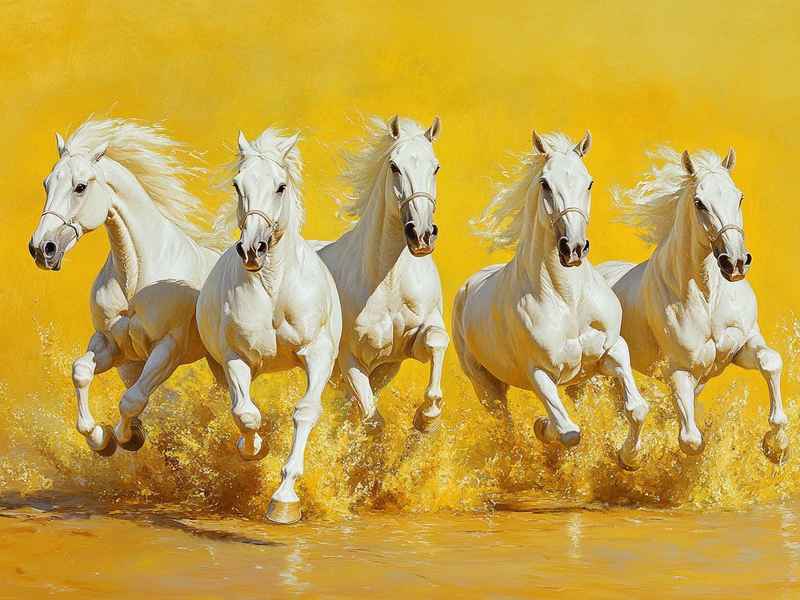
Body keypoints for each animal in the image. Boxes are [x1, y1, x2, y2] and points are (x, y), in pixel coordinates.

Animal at [28, 118, 222, 457]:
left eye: (80, 187)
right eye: (46, 184)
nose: (42, 249)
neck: (136, 278)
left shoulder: (168, 348)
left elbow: (132, 399)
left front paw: (124, 437)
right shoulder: (113, 345)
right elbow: (81, 371)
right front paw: (100, 437)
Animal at [196, 128, 341, 524]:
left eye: (281, 186)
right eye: (237, 184)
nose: (252, 249)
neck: (274, 288)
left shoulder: (318, 353)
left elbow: (305, 411)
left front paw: (284, 501)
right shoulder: (237, 357)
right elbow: (246, 414)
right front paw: (254, 448)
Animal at [313, 115, 448, 434]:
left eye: (435, 167)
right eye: (394, 166)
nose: (421, 235)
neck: (389, 282)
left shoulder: (404, 349)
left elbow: (437, 341)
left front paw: (426, 417)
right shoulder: (351, 360)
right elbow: (373, 421)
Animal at [452, 130, 650, 470]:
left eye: (589, 182)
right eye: (545, 183)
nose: (573, 248)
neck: (568, 301)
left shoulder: (612, 350)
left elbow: (636, 408)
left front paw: (628, 458)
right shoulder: (539, 372)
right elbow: (569, 432)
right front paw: (544, 427)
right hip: (486, 386)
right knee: (506, 426)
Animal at [598, 147, 787, 463]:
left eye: (739, 197)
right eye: (700, 203)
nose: (735, 263)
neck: (707, 299)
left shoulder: (741, 347)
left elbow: (770, 361)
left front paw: (777, 445)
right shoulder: (678, 371)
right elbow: (691, 440)